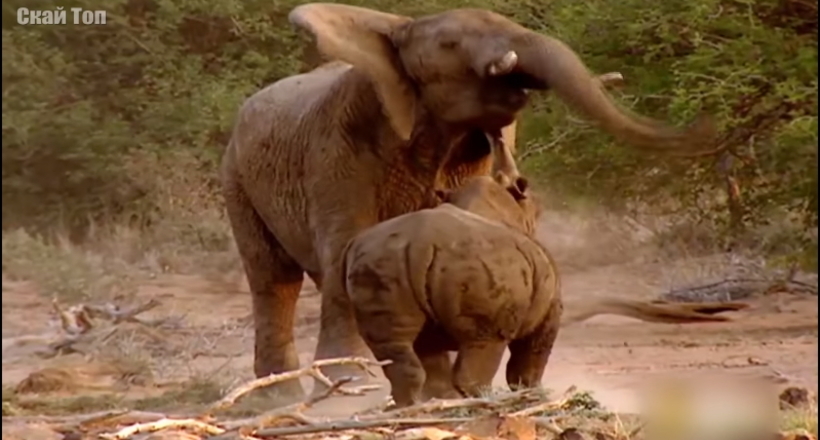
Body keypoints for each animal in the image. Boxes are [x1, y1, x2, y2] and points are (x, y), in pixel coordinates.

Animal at [223, 3, 716, 402]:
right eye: (451, 44)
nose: (704, 116)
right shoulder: (339, 148)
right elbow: (344, 248)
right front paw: (350, 388)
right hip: (237, 178)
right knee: (273, 281)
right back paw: (281, 399)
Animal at [340, 174, 748, 408]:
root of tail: (422, 244)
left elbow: (431, 356)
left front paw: (438, 400)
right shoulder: (550, 309)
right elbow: (531, 357)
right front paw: (532, 396)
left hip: (379, 258)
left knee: (396, 347)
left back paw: (415, 406)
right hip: (481, 265)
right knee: (485, 340)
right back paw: (481, 402)